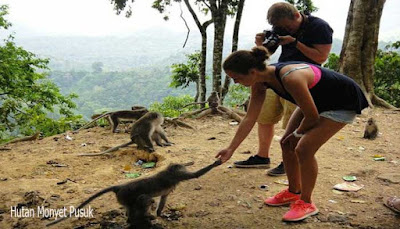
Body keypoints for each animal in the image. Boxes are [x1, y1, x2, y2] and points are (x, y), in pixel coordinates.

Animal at [47, 160, 223, 228]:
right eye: (181, 168)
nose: (183, 166)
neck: (169, 172)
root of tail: (119, 187)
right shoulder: (176, 176)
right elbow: (195, 175)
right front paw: (216, 163)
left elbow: (163, 198)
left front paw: (160, 214)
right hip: (126, 196)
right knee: (143, 199)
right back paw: (136, 220)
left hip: (123, 199)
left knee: (135, 206)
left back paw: (133, 219)